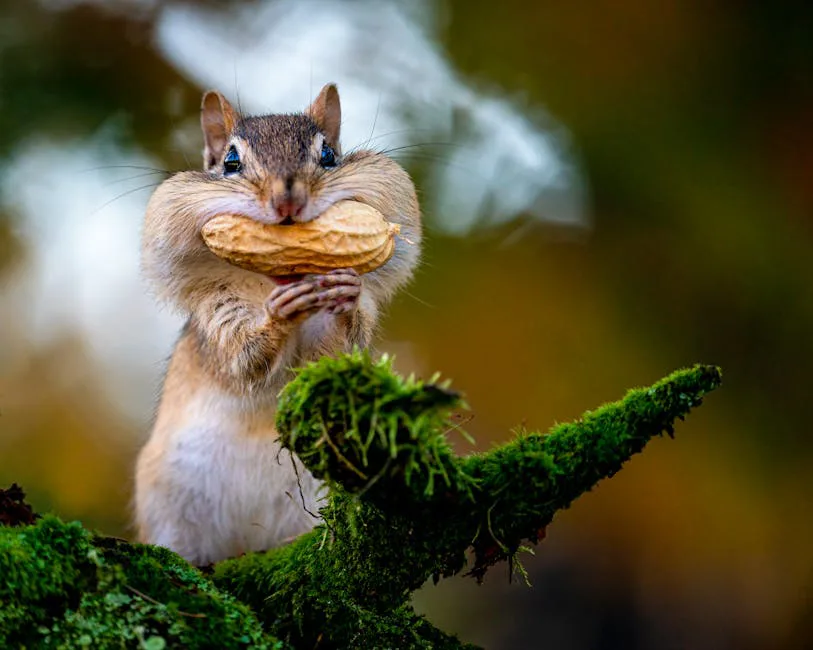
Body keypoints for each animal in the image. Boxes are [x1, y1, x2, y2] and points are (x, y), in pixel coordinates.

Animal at [134, 84, 422, 566]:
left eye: (328, 155)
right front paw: (278, 315)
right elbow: (243, 359)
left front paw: (344, 293)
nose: (288, 201)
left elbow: (336, 353)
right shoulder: (217, 312)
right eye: (230, 162)